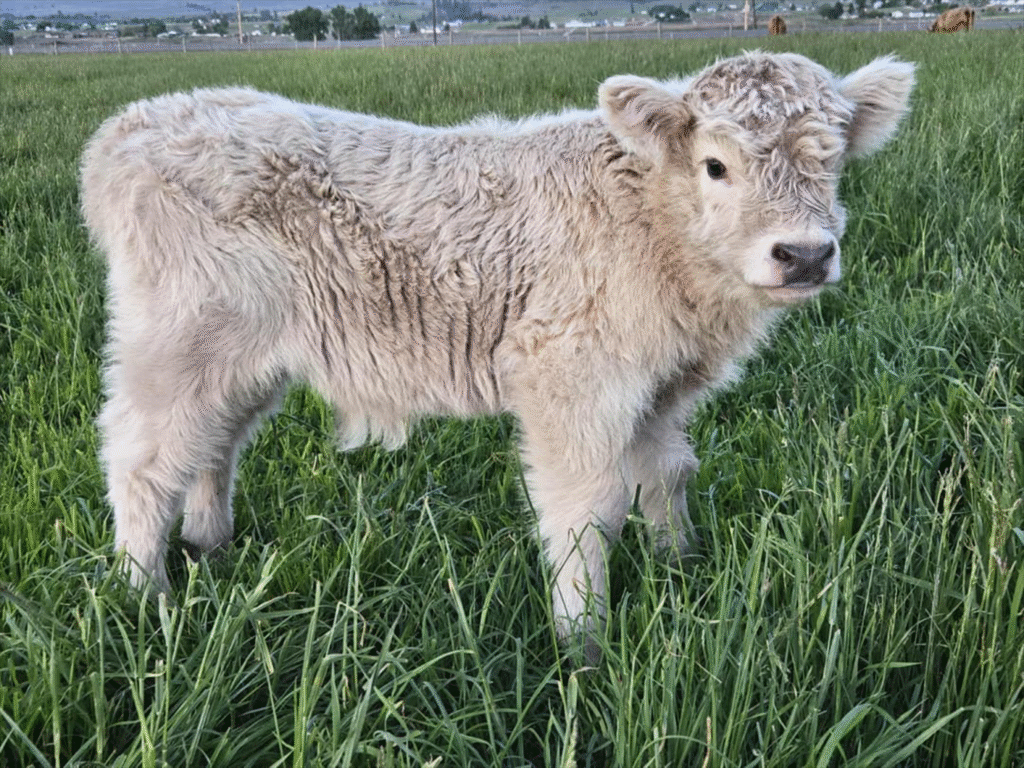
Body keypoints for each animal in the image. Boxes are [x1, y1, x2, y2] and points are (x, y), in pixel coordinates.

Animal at [80, 51, 914, 656]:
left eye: (831, 161)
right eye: (716, 166)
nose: (803, 255)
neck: (651, 219)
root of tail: (137, 121)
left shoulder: (659, 391)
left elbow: (669, 474)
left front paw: (681, 570)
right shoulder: (569, 377)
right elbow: (586, 513)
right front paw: (583, 646)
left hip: (245, 359)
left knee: (213, 445)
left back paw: (210, 542)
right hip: (178, 343)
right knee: (143, 457)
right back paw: (143, 593)